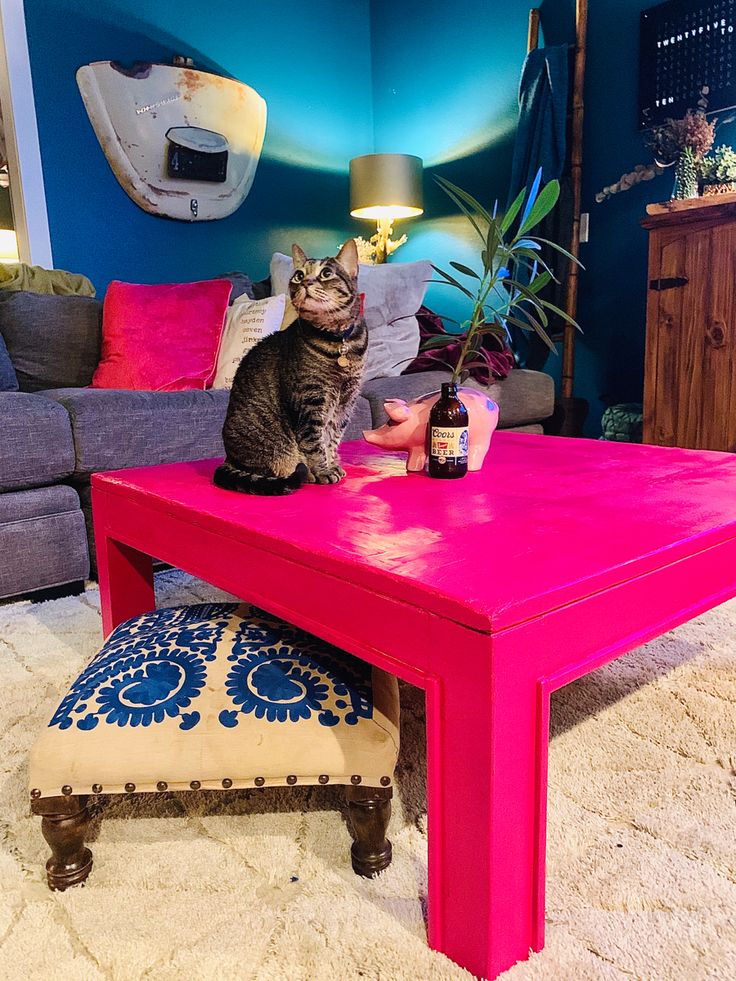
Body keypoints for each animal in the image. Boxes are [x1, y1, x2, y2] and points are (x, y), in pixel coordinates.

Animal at [213, 241, 368, 494]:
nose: (305, 282)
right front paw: (323, 471)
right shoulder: (310, 401)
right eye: (298, 275)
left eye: (326, 273)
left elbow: (332, 438)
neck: (338, 341)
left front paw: (333, 464)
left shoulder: (345, 403)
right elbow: (315, 443)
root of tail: (228, 459)